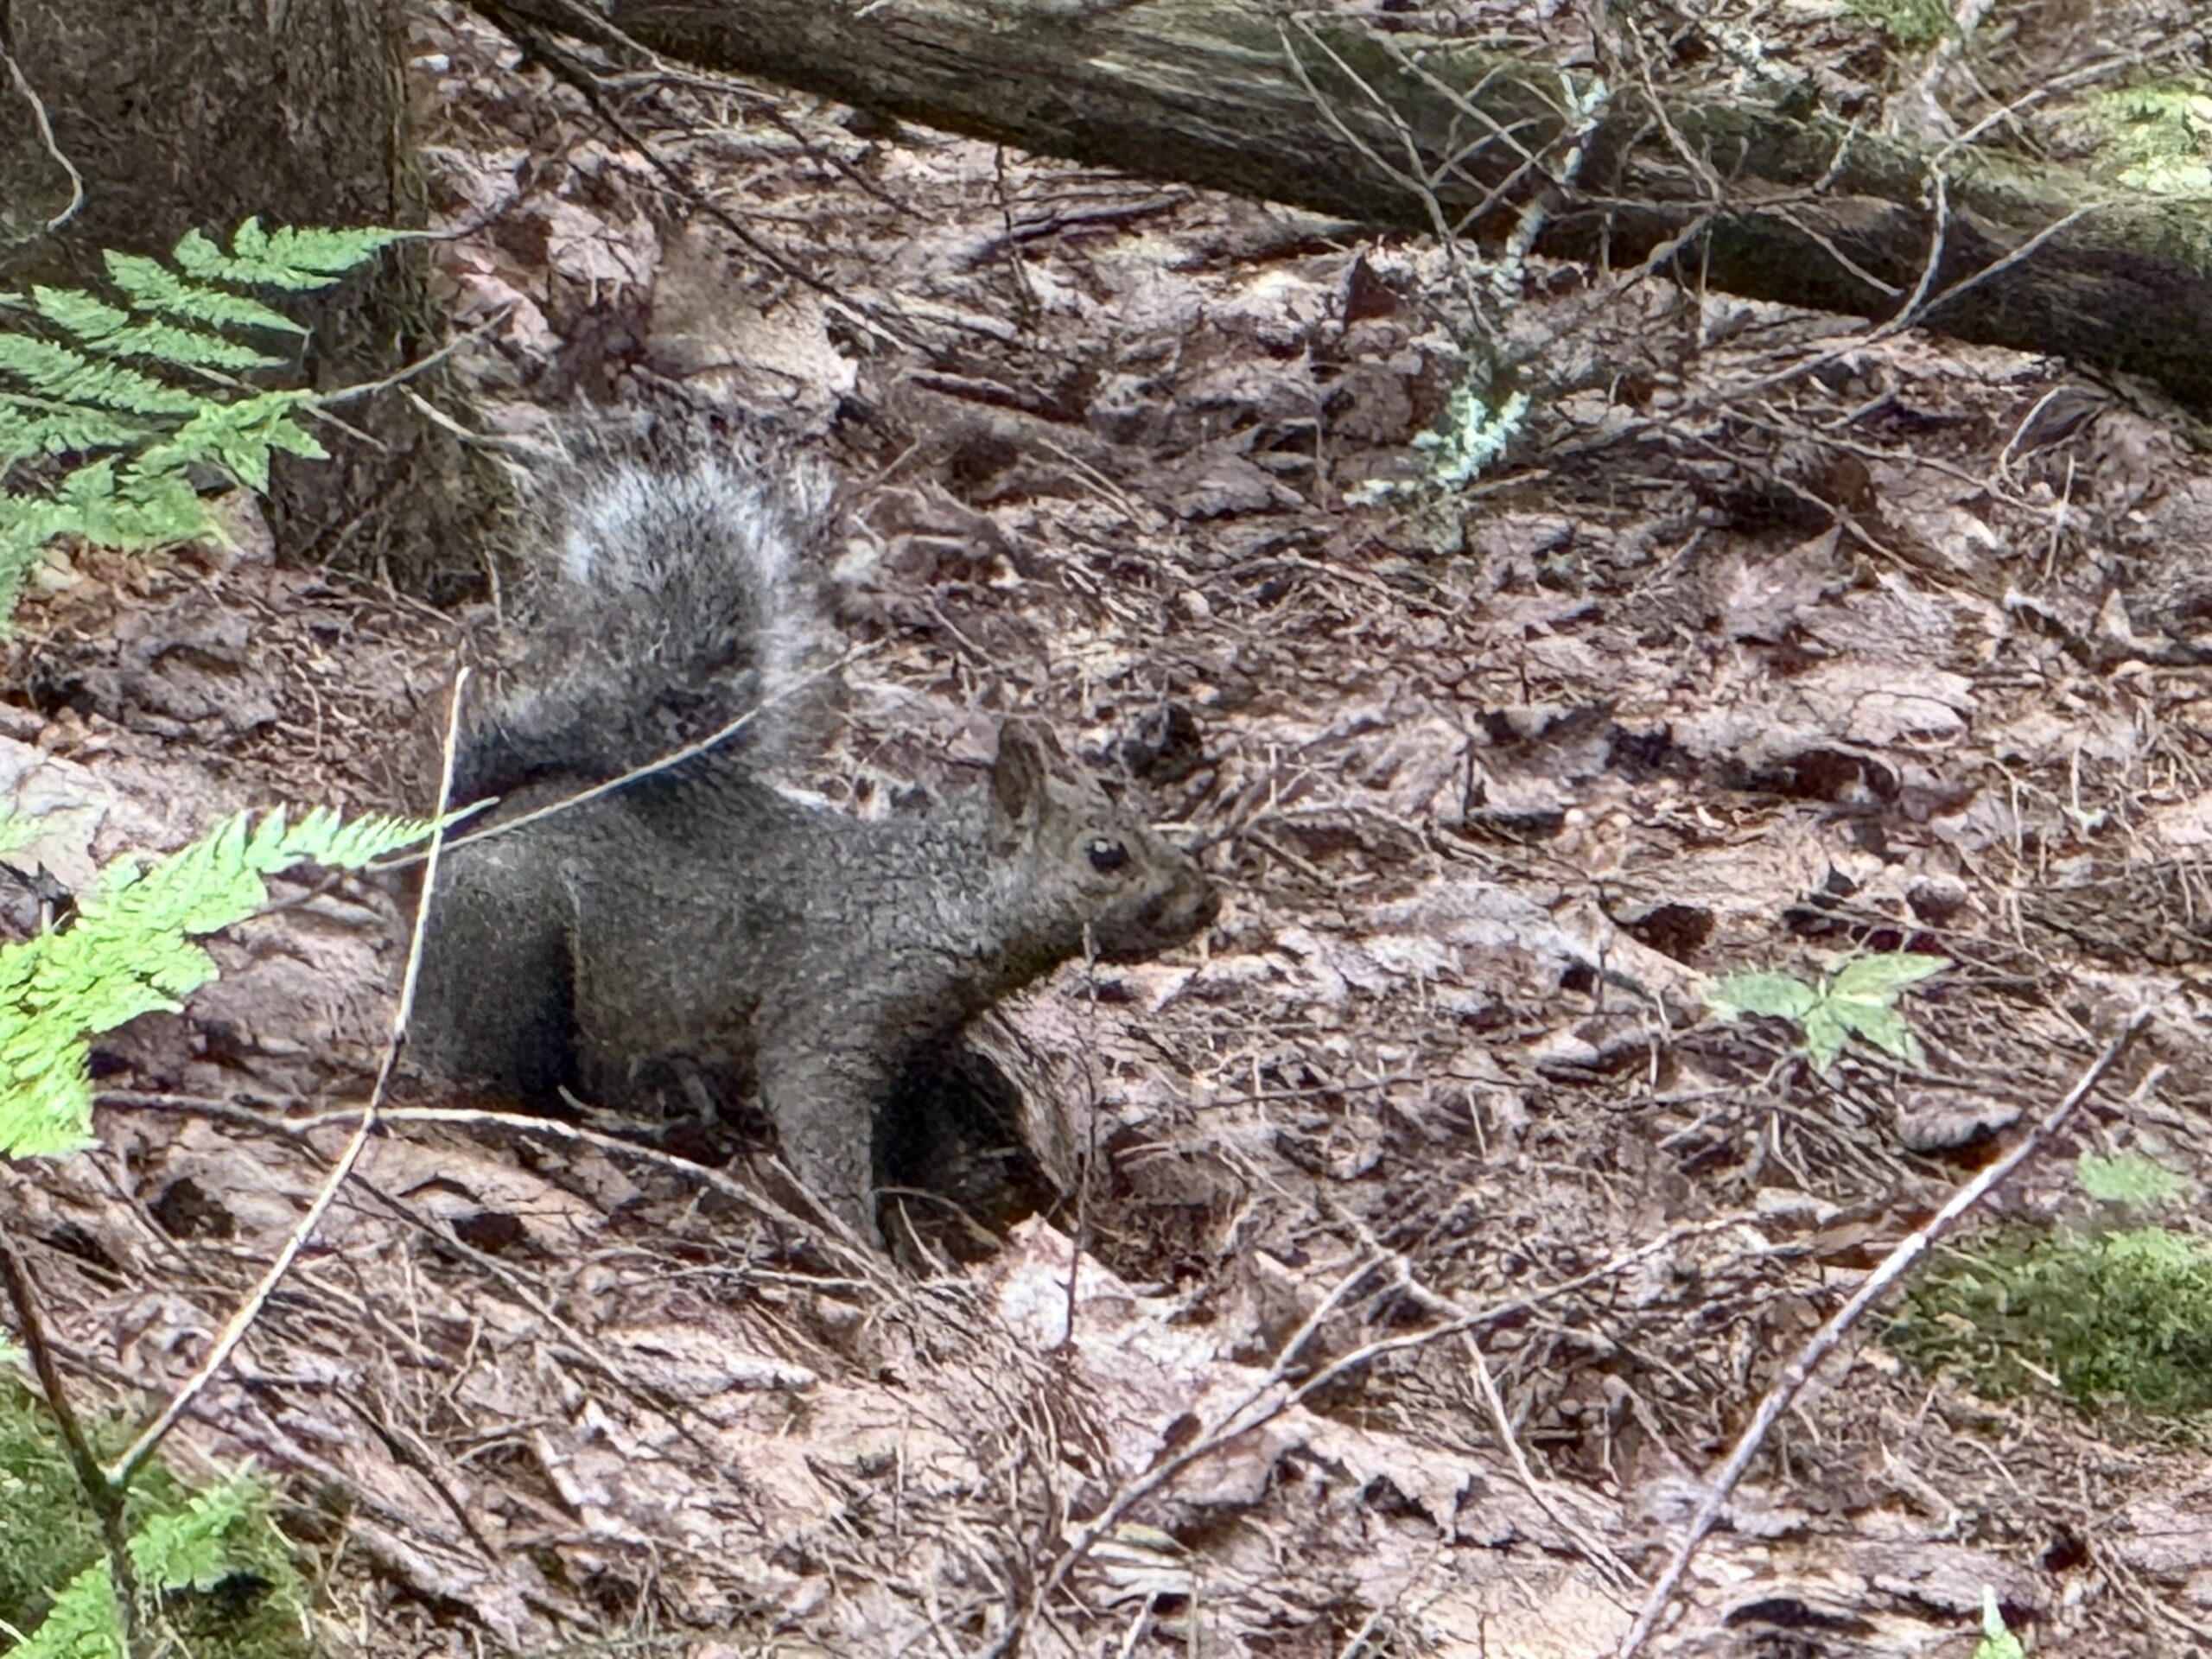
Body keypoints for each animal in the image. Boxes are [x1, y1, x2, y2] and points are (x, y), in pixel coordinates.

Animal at [407, 410, 1220, 1245]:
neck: (934, 897)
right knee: (480, 1056)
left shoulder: (921, 1045)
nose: (1206, 901)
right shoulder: (835, 1010)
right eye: (1104, 854)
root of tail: (458, 837)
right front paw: (864, 1244)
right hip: (507, 938)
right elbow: (818, 1119)